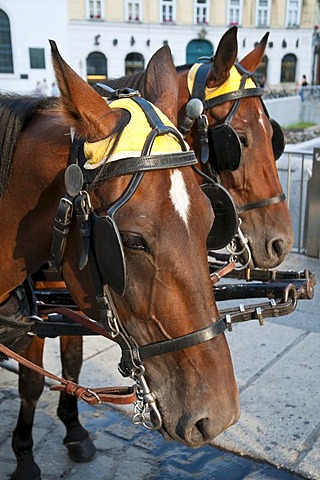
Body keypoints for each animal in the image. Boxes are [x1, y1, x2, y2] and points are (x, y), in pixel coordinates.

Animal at [0, 42, 239, 480]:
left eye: (210, 220)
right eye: (129, 240)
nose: (219, 415)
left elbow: (71, 362)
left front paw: (73, 431)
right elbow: (32, 383)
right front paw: (25, 456)